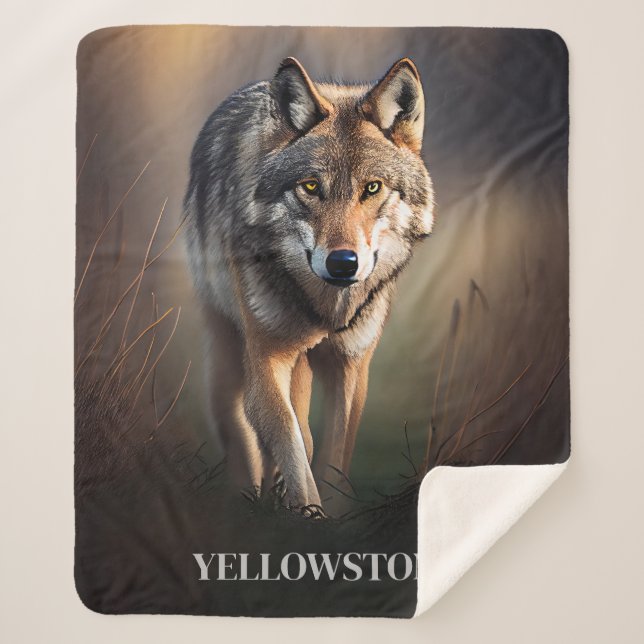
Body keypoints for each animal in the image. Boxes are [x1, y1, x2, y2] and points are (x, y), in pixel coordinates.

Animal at [185, 57, 434, 514]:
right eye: (311, 187)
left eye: (372, 187)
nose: (343, 263)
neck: (325, 309)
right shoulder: (267, 358)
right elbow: (291, 440)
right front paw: (305, 509)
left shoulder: (351, 364)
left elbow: (332, 451)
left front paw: (328, 511)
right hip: (229, 349)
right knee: (246, 425)